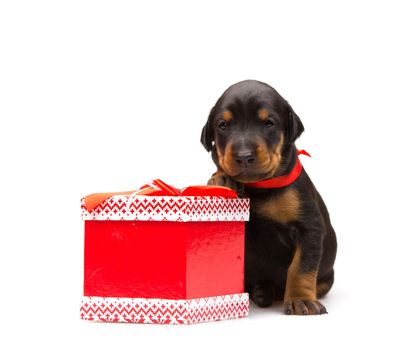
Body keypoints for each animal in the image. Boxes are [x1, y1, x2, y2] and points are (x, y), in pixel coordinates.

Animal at [200, 80, 336, 316]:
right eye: (223, 125)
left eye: (269, 123)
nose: (244, 156)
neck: (259, 187)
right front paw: (222, 178)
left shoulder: (309, 227)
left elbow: (301, 267)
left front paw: (301, 299)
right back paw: (261, 292)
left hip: (328, 277)